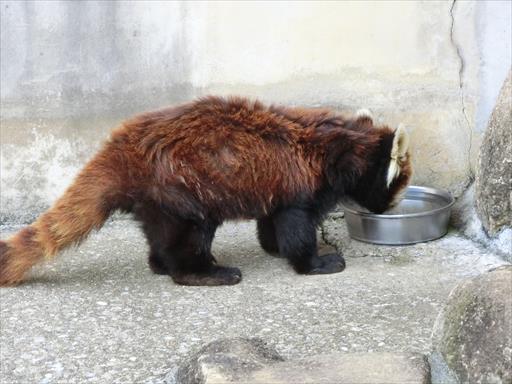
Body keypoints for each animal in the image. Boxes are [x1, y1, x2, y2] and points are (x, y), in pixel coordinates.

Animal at [0, 97, 410, 286]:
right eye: (399, 187)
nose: (390, 210)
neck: (343, 146)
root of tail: (123, 146)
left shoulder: (277, 188)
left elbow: (272, 222)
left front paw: (275, 249)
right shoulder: (302, 186)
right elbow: (297, 228)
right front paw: (317, 263)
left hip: (159, 198)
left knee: (161, 234)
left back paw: (164, 264)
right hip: (181, 187)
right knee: (190, 234)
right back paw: (203, 273)